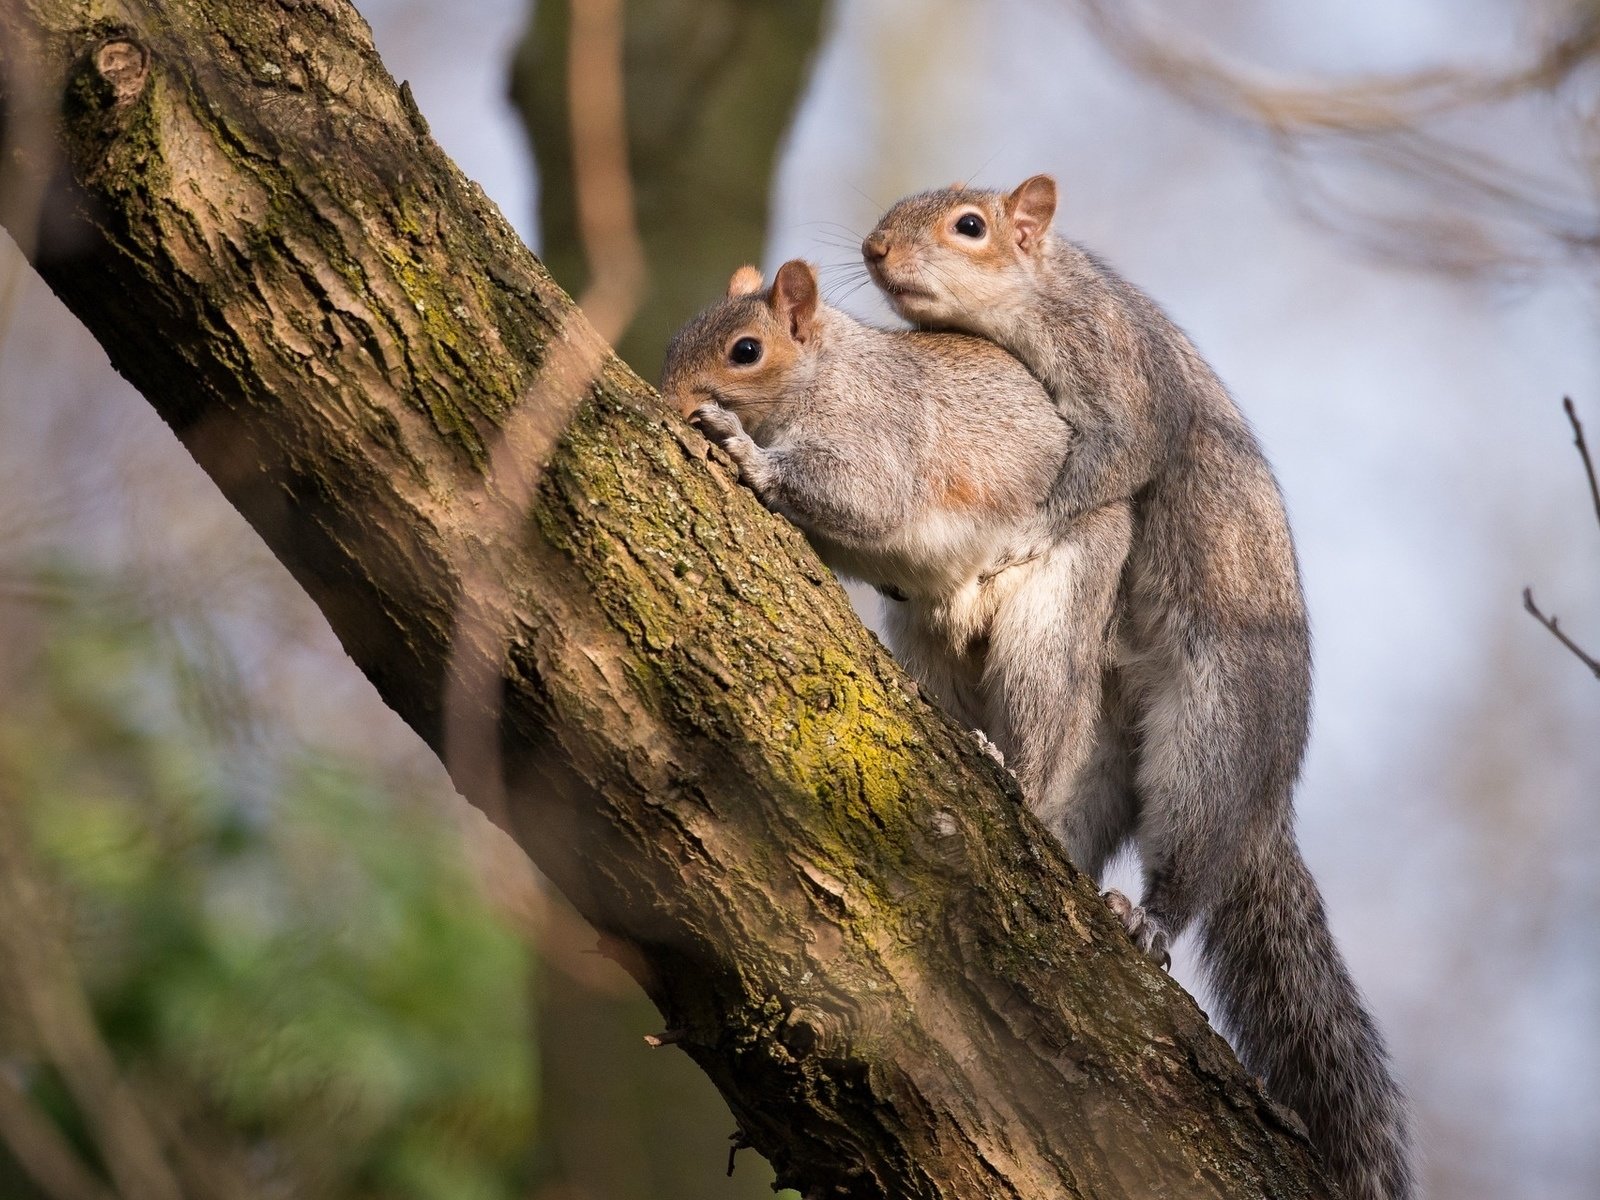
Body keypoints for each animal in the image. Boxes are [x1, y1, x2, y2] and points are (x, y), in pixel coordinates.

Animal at [656, 262, 1132, 844]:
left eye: (745, 351)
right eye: (676, 342)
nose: (671, 402)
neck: (822, 370)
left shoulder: (879, 427)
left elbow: (869, 496)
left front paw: (742, 448)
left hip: (1058, 600)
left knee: (1043, 707)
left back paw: (1019, 777)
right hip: (924, 643)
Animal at [864, 173, 1414, 1200]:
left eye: (971, 226)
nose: (876, 253)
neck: (1039, 296)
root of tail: (1268, 799)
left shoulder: (1120, 377)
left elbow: (1106, 464)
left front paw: (1024, 527)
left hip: (1213, 733)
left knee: (1187, 854)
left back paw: (1149, 918)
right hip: (1100, 757)